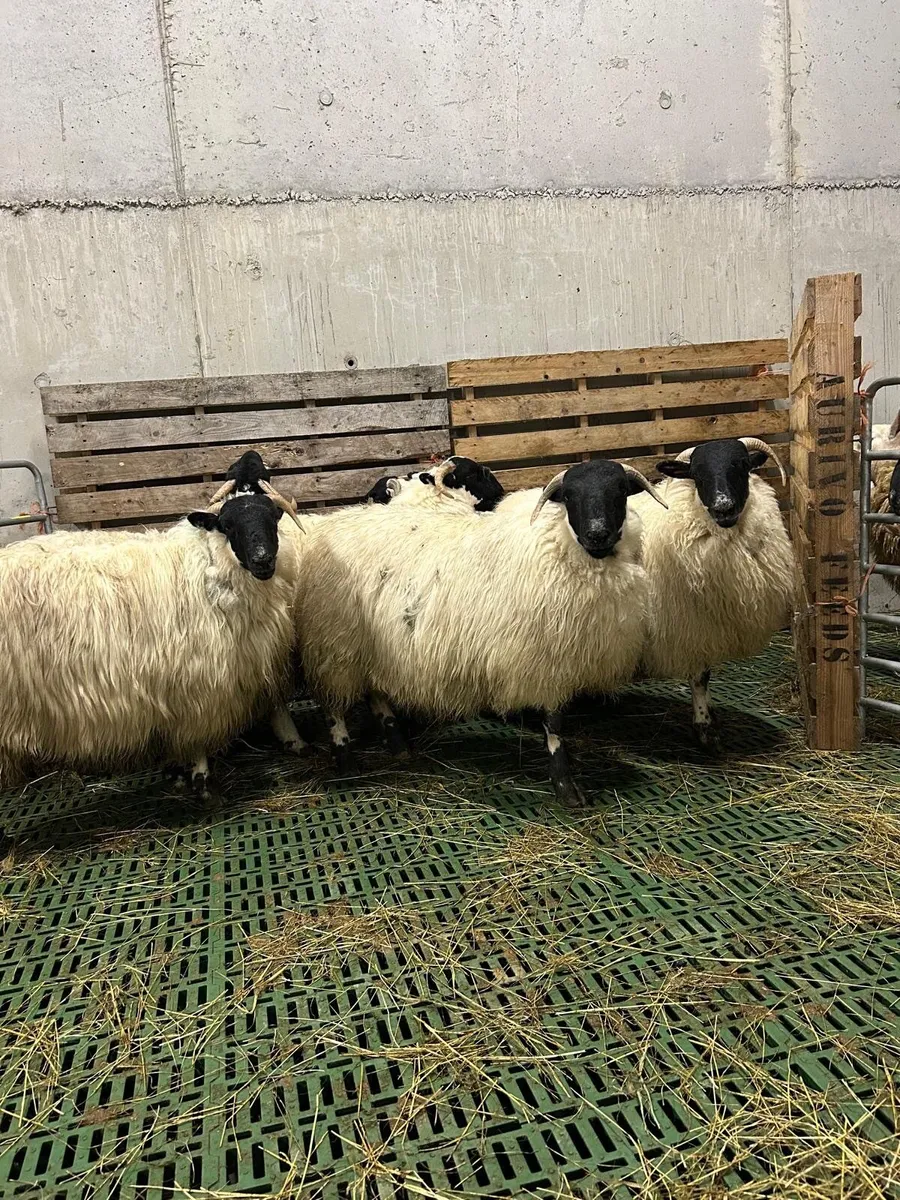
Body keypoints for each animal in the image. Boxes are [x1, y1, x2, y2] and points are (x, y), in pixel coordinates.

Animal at [0, 482, 305, 795]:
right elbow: (197, 734)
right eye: (227, 525)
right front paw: (201, 775)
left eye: (273, 518)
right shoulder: (198, 680)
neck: (207, 567)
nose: (262, 560)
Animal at [293, 459, 667, 804]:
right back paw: (346, 761)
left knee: (376, 692)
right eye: (570, 495)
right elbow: (554, 725)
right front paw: (564, 784)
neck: (558, 547)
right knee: (334, 708)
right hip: (334, 644)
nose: (597, 534)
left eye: (620, 491)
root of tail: (335, 521)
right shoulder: (543, 660)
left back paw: (397, 743)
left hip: (371, 643)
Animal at [628, 437, 797, 748]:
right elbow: (699, 677)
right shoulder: (693, 626)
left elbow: (705, 676)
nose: (723, 507)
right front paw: (704, 726)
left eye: (741, 464)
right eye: (696, 474)